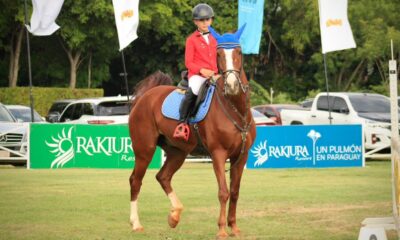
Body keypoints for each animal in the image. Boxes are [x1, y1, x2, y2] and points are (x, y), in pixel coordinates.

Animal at [128, 26, 256, 238]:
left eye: (239, 52)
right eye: (219, 54)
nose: (232, 86)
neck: (235, 109)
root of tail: (145, 97)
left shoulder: (241, 156)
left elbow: (235, 192)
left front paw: (234, 227)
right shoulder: (218, 154)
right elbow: (223, 192)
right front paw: (222, 229)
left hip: (177, 152)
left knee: (163, 177)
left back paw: (174, 215)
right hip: (144, 150)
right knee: (135, 181)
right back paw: (136, 223)